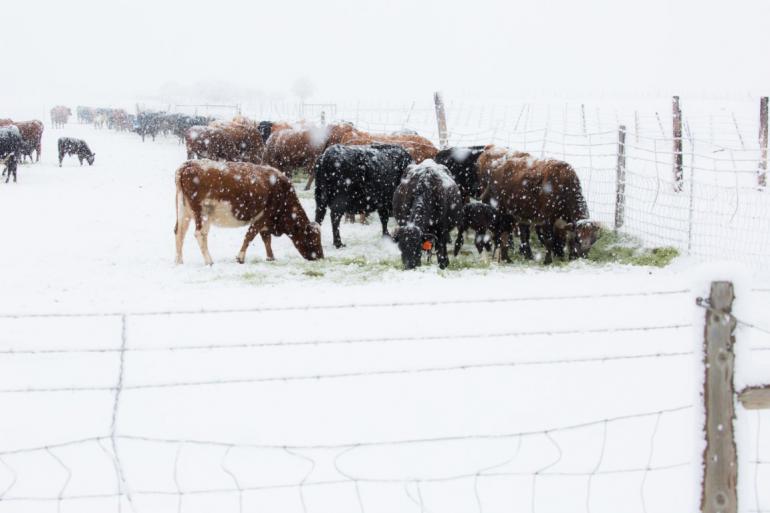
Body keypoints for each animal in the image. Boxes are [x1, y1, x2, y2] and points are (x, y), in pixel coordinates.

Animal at [174, 159, 320, 264]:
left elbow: (266, 238)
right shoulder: (263, 216)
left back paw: (179, 260)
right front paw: (240, 257)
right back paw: (209, 261)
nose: (320, 256)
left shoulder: (266, 221)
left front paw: (270, 257)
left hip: (184, 212)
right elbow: (250, 235)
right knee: (199, 233)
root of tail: (188, 165)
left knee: (179, 232)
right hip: (203, 213)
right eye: (313, 237)